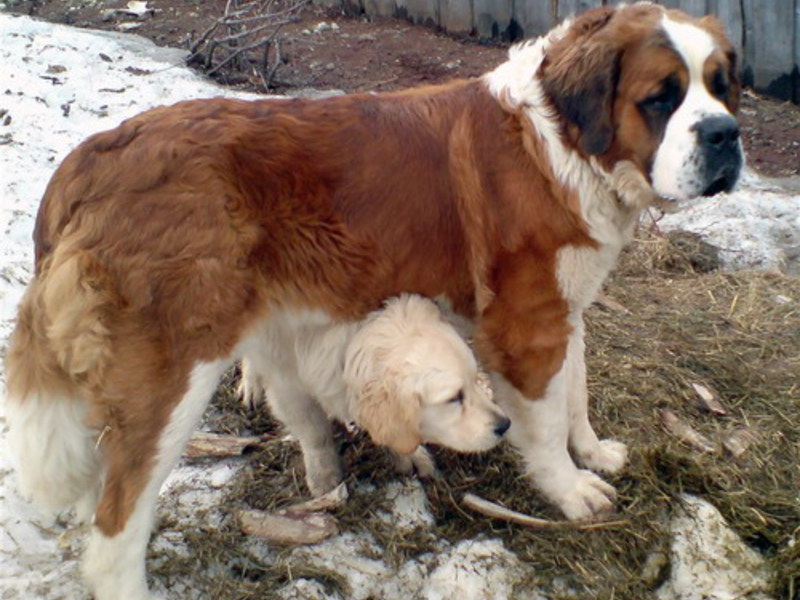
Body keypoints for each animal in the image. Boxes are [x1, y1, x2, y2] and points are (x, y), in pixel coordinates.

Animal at [239, 296, 512, 496]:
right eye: (453, 398)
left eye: (475, 380)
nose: (505, 425)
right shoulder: (287, 384)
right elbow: (315, 433)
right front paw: (324, 476)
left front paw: (409, 455)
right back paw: (251, 383)